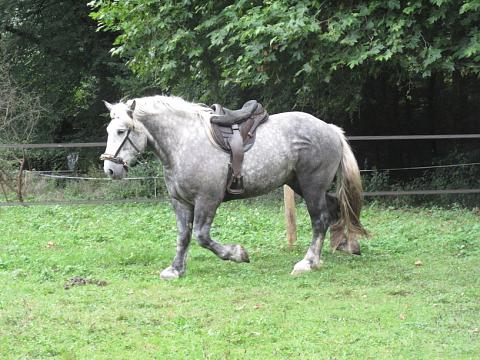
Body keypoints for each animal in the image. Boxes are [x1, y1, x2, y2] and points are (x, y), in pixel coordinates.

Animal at [100, 95, 368, 278]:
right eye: (108, 130)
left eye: (121, 131)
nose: (110, 169)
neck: (183, 141)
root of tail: (330, 129)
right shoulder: (180, 201)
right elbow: (183, 235)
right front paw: (176, 269)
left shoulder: (207, 200)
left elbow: (202, 236)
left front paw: (238, 254)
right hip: (301, 184)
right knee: (334, 208)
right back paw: (342, 246)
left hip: (312, 186)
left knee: (320, 219)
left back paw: (308, 262)